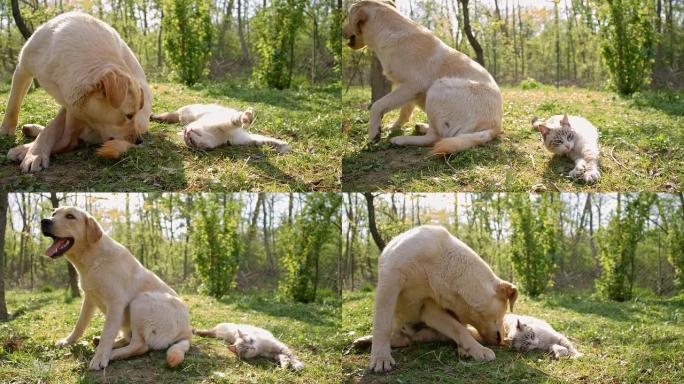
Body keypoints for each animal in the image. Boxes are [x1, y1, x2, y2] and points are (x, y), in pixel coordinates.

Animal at [0, 12, 152, 172]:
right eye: (129, 115)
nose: (139, 141)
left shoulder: (71, 102)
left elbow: (51, 129)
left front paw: (36, 153)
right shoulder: (23, 70)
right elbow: (13, 104)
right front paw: (6, 130)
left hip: (78, 114)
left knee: (68, 141)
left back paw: (26, 149)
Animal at [41, 208, 191, 370]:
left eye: (70, 216)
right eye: (54, 214)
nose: (44, 221)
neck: (93, 259)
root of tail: (187, 333)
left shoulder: (116, 303)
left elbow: (107, 333)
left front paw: (100, 358)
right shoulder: (89, 298)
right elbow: (80, 325)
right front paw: (68, 341)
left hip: (141, 301)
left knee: (140, 345)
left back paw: (111, 354)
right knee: (127, 339)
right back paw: (104, 343)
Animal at [344, 1, 500, 154]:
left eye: (348, 17)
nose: (342, 30)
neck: (388, 31)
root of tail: (494, 128)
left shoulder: (411, 85)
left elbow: (377, 106)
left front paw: (373, 134)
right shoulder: (408, 91)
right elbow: (404, 113)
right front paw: (393, 127)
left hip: (438, 87)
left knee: (435, 138)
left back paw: (402, 140)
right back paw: (420, 127)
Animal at [358, 225, 520, 372]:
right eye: (504, 312)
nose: (504, 340)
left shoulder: (429, 309)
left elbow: (459, 329)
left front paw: (478, 349)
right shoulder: (389, 284)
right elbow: (382, 326)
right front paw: (380, 357)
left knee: (408, 339)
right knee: (397, 336)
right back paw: (365, 341)